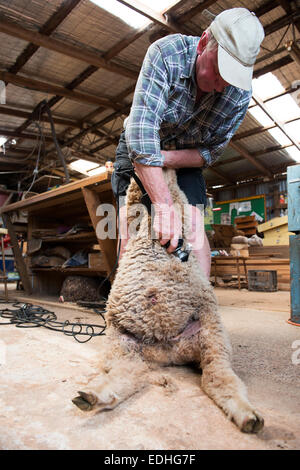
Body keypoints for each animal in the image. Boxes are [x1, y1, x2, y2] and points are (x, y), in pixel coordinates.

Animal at [72, 169, 262, 434]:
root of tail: (167, 350)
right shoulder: (143, 207)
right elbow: (138, 193)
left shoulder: (171, 203)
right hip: (122, 345)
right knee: (131, 373)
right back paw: (94, 396)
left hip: (211, 336)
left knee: (217, 377)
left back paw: (248, 416)